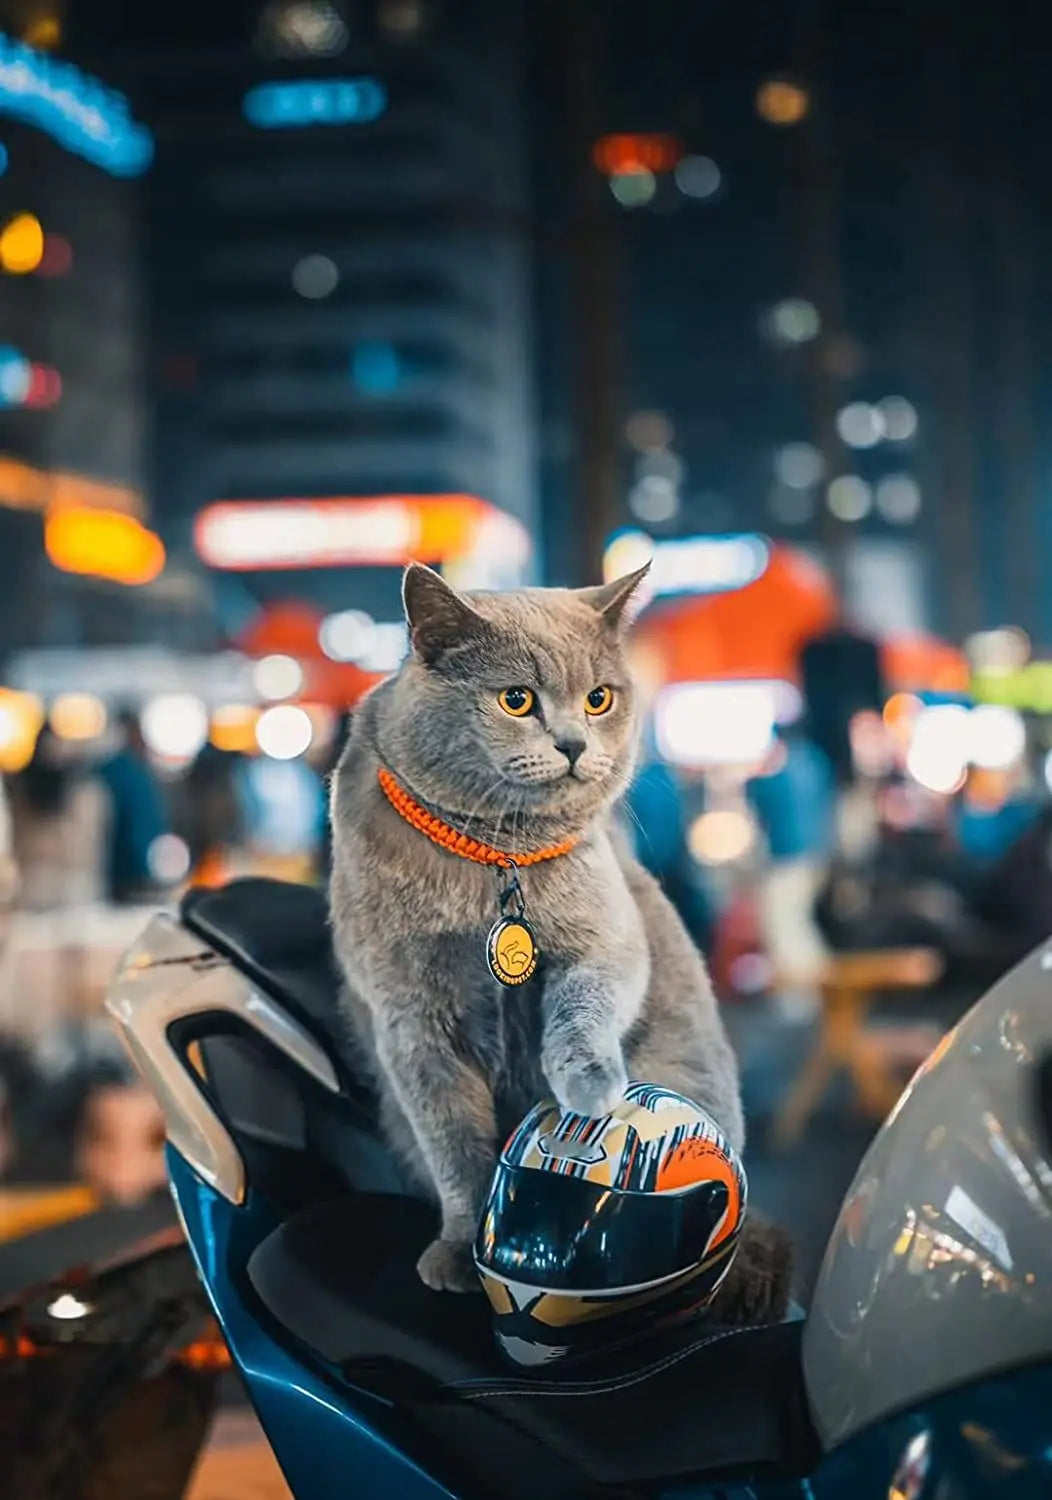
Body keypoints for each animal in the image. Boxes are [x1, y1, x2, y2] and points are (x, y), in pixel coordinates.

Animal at [328, 564, 747, 1290]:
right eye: (517, 700)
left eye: (599, 699)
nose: (575, 743)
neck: (494, 857)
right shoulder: (409, 1017)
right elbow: (452, 1142)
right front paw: (460, 1250)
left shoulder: (608, 937)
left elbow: (583, 1005)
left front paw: (587, 1087)